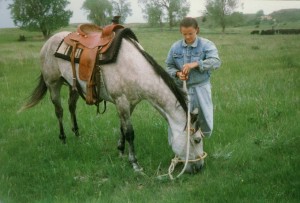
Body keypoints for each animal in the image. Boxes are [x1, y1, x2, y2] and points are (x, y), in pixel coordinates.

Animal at [19, 30, 206, 174]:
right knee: (59, 111)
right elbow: (130, 132)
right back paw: (64, 139)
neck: (134, 68)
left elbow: (123, 128)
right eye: (197, 140)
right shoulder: (122, 101)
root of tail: (49, 41)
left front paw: (121, 151)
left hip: (73, 86)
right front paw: (134, 163)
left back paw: (77, 135)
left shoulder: (130, 104)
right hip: (53, 84)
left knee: (71, 107)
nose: (199, 167)